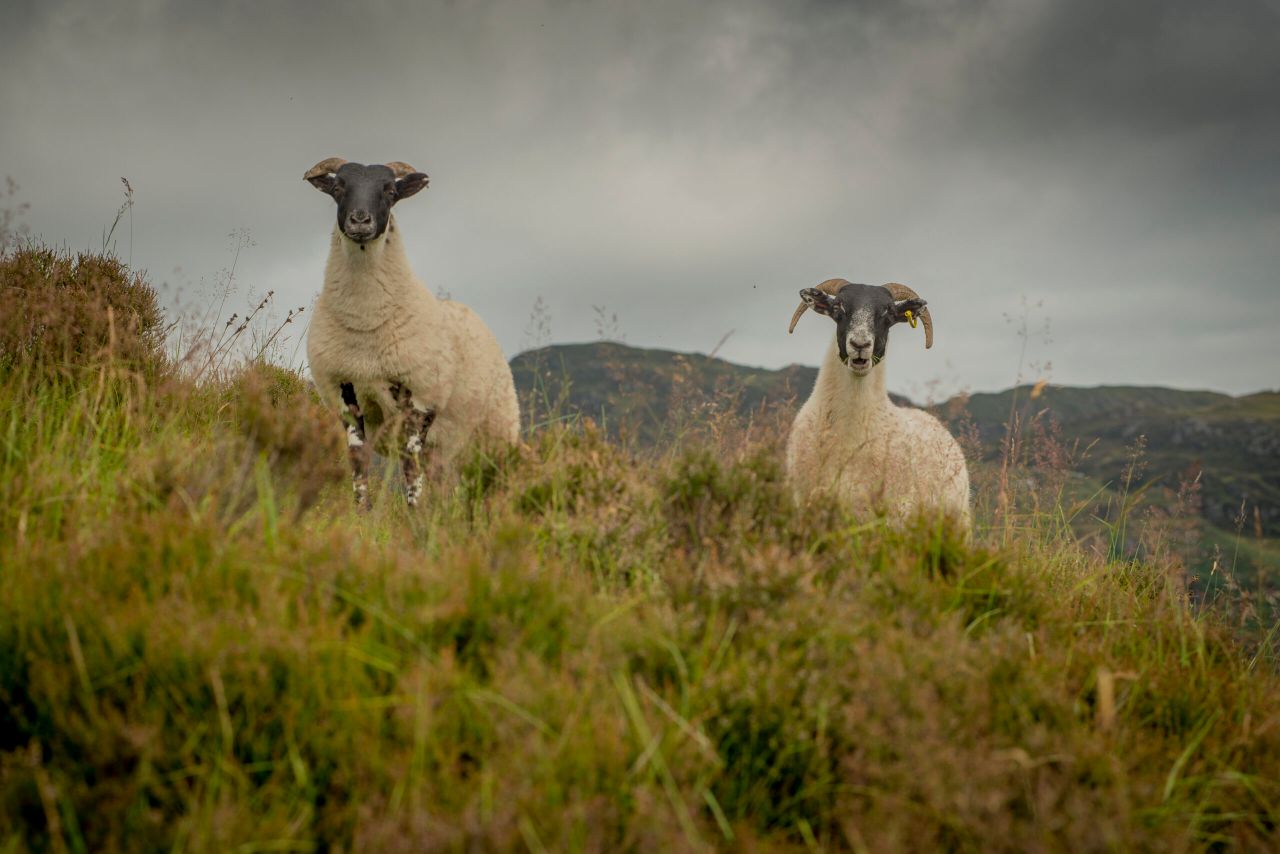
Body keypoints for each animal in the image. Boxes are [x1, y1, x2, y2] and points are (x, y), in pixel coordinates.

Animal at [303, 157, 519, 509]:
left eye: (390, 191)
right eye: (338, 187)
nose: (360, 220)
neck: (365, 323)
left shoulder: (421, 397)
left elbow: (409, 465)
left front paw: (415, 513)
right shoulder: (345, 392)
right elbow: (359, 462)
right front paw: (362, 512)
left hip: (497, 429)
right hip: (447, 447)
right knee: (447, 482)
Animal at [785, 279, 970, 533]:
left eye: (888, 312)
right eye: (838, 307)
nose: (860, 344)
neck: (850, 437)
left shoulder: (892, 516)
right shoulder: (806, 504)